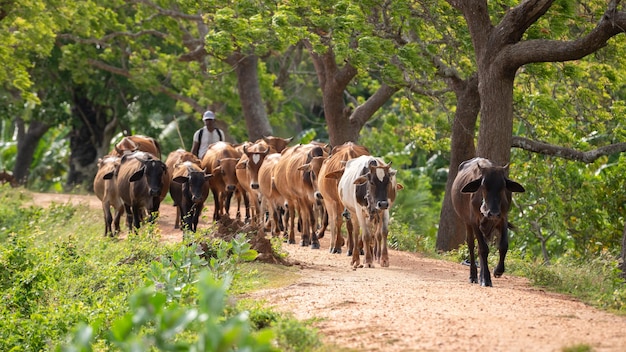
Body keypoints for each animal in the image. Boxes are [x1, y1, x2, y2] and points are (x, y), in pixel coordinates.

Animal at [450, 157, 524, 286]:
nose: (492, 213)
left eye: (503, 186)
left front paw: (497, 271)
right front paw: (486, 279)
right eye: (483, 185)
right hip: (467, 223)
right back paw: (474, 276)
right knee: (471, 244)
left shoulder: (502, 218)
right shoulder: (475, 222)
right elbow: (483, 249)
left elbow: (503, 245)